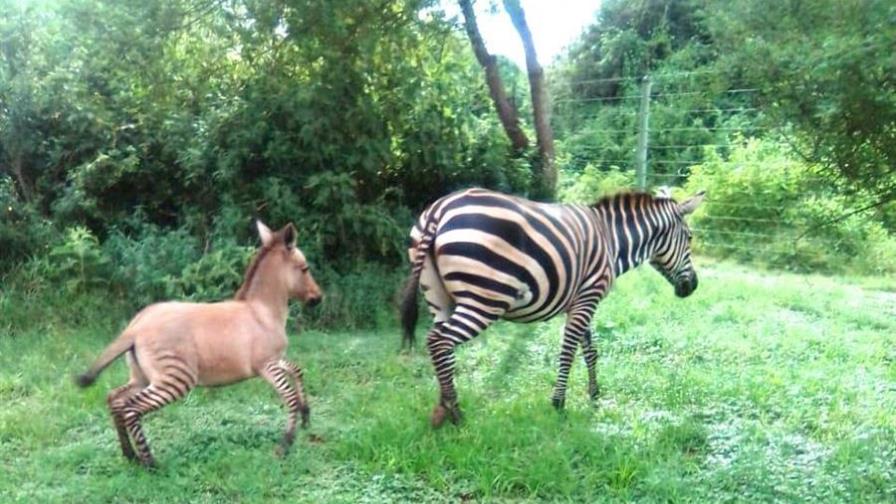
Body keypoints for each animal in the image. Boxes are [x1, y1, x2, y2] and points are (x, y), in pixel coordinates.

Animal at [399, 187, 705, 427]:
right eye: (690, 238)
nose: (693, 287)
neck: (612, 241)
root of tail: (440, 208)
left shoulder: (581, 300)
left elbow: (590, 350)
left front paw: (594, 395)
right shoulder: (588, 297)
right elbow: (568, 351)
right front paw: (559, 403)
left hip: (439, 298)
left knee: (440, 346)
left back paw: (443, 407)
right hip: (484, 299)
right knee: (439, 341)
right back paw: (455, 413)